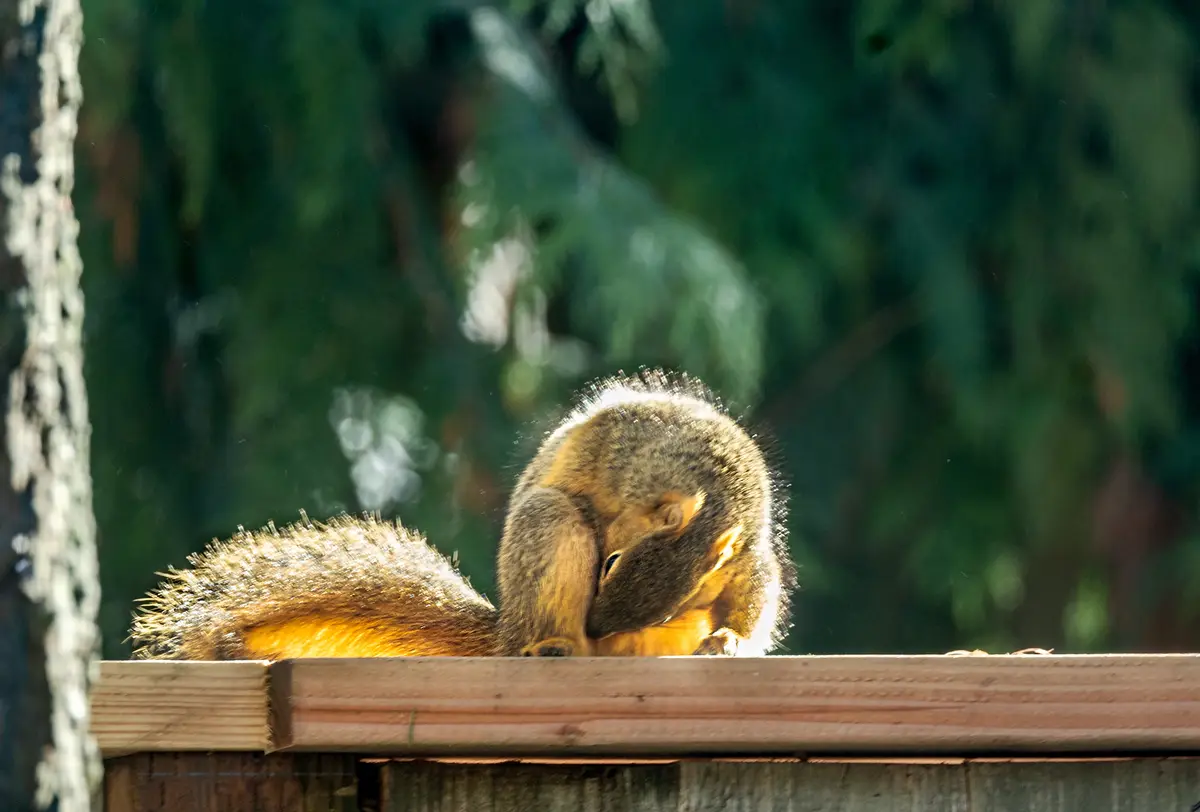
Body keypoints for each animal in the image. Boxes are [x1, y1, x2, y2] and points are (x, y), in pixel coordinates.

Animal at [129, 370, 794, 660]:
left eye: (674, 608)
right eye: (606, 564)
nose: (603, 624)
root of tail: (506, 632)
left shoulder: (748, 561)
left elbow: (752, 604)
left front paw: (730, 639)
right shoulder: (605, 449)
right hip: (548, 534)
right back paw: (556, 645)